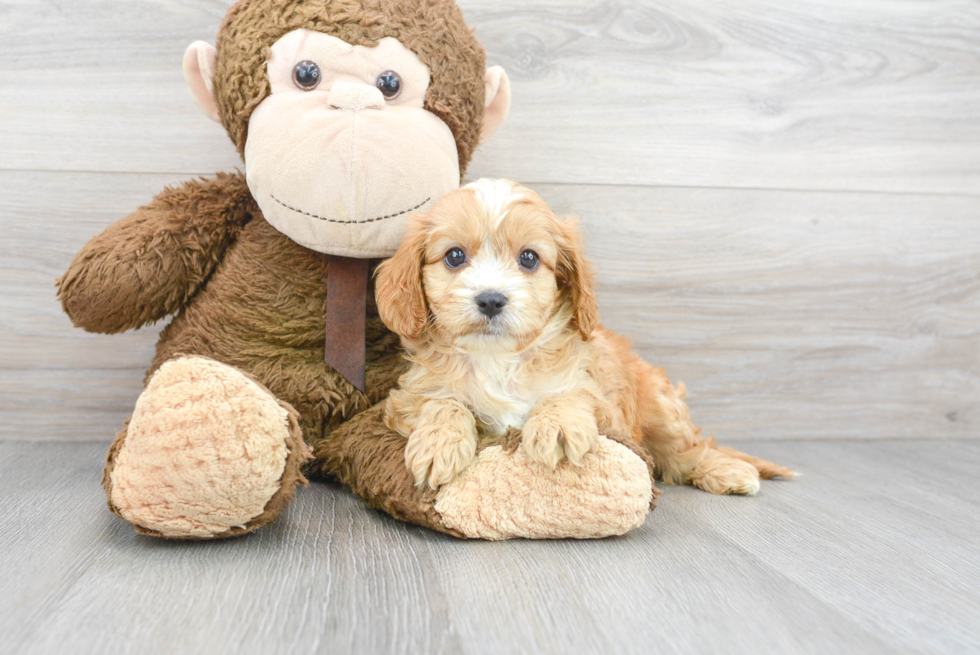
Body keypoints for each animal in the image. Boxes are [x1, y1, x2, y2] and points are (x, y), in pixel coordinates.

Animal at [372, 178, 792, 492]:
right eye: (455, 256)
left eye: (528, 258)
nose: (491, 300)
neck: (498, 357)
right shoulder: (406, 399)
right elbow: (444, 402)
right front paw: (439, 445)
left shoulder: (605, 407)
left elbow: (568, 393)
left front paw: (557, 426)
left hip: (661, 408)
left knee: (687, 451)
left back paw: (727, 471)